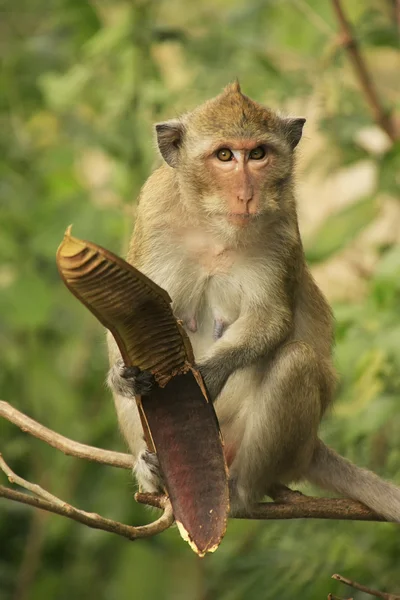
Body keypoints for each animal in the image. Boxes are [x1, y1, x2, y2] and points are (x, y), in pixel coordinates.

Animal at [106, 79, 400, 520]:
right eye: (225, 155)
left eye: (258, 154)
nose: (247, 194)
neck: (213, 227)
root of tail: (312, 447)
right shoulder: (154, 212)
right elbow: (129, 314)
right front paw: (121, 376)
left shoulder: (282, 226)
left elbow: (272, 317)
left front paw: (207, 374)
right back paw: (152, 471)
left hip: (284, 448)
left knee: (295, 361)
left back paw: (240, 491)